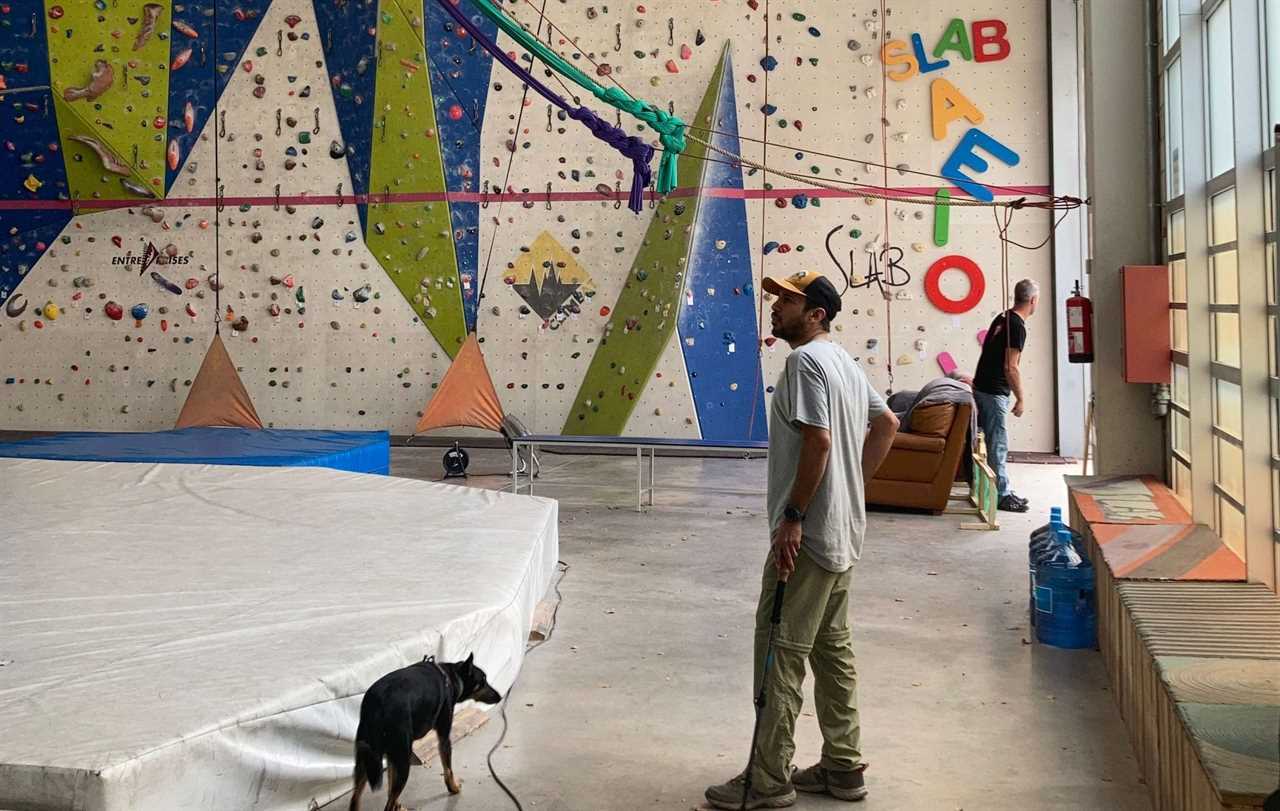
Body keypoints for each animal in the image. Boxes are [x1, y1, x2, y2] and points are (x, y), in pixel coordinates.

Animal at [355, 649, 504, 808]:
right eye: (483, 681)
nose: (500, 697)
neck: (452, 676)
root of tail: (378, 705)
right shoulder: (444, 737)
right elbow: (448, 769)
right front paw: (453, 788)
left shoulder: (391, 756)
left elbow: (390, 784)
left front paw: (398, 805)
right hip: (403, 760)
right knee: (387, 804)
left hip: (365, 760)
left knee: (356, 800)